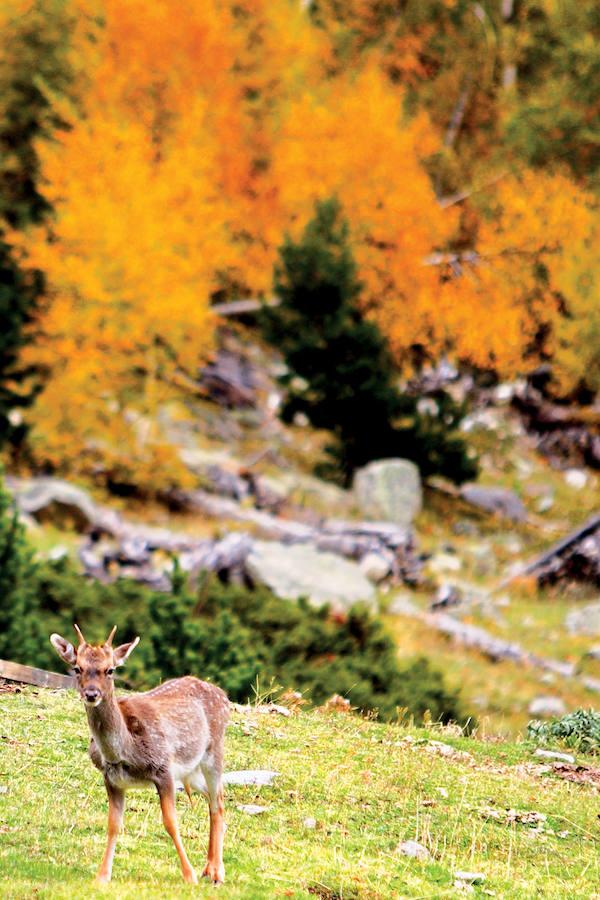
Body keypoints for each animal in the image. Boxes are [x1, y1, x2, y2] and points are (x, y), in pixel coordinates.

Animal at [49, 624, 230, 884]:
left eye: (110, 670)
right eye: (77, 668)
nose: (92, 694)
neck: (124, 753)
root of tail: (223, 695)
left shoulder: (163, 768)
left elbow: (171, 823)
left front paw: (189, 876)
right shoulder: (112, 779)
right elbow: (114, 824)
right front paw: (102, 876)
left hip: (214, 751)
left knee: (218, 802)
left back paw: (216, 872)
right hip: (191, 771)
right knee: (213, 798)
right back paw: (209, 867)